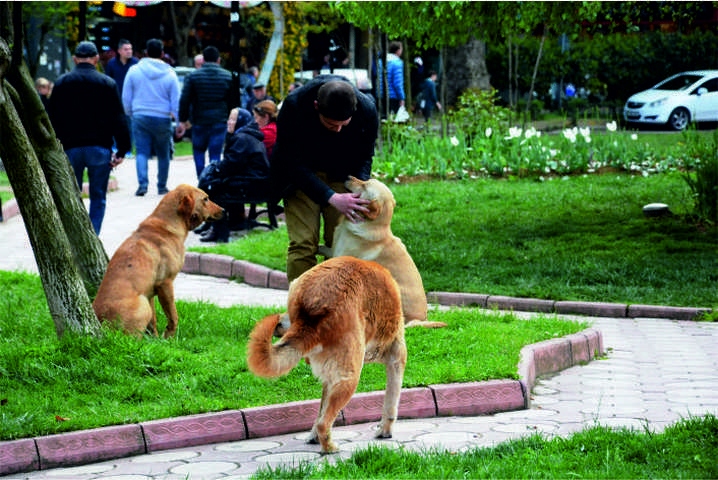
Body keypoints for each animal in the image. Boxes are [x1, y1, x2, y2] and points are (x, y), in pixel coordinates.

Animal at [93, 184, 224, 338]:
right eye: (205, 199)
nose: (224, 210)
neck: (168, 225)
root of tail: (103, 325)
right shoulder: (165, 284)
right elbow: (173, 317)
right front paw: (169, 337)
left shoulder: (151, 291)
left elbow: (153, 322)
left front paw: (156, 339)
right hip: (142, 304)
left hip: (145, 299)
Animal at [247, 256, 407, 454]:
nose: (278, 322)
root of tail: (313, 308)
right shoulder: (397, 356)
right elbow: (391, 403)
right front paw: (385, 431)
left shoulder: (328, 377)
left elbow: (321, 409)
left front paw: (312, 436)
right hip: (350, 378)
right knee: (325, 423)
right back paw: (330, 448)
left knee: (322, 419)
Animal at [330, 176, 447, 328]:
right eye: (367, 180)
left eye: (365, 185)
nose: (348, 176)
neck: (372, 225)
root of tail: (420, 319)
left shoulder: (339, 259)